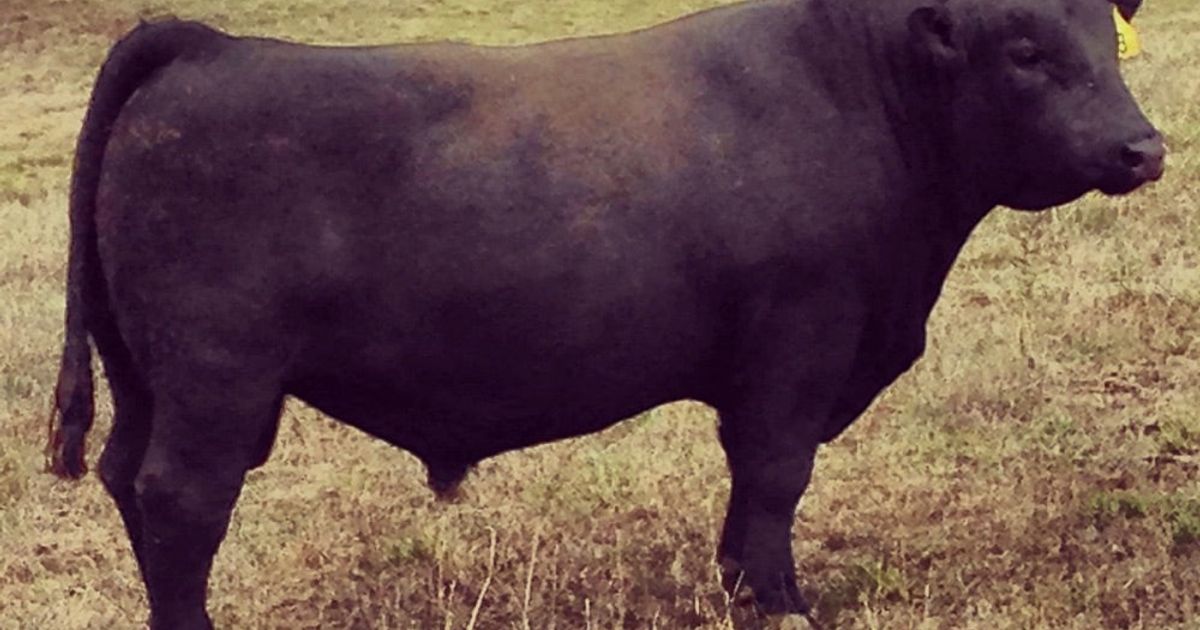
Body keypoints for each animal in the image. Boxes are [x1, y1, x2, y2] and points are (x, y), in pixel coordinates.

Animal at [46, 0, 1162, 627]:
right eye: (1023, 49)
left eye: (1107, 40)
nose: (1143, 147)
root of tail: (206, 43)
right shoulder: (799, 343)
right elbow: (775, 477)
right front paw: (782, 606)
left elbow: (748, 490)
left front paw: (738, 589)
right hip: (216, 379)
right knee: (183, 502)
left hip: (149, 377)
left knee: (124, 479)